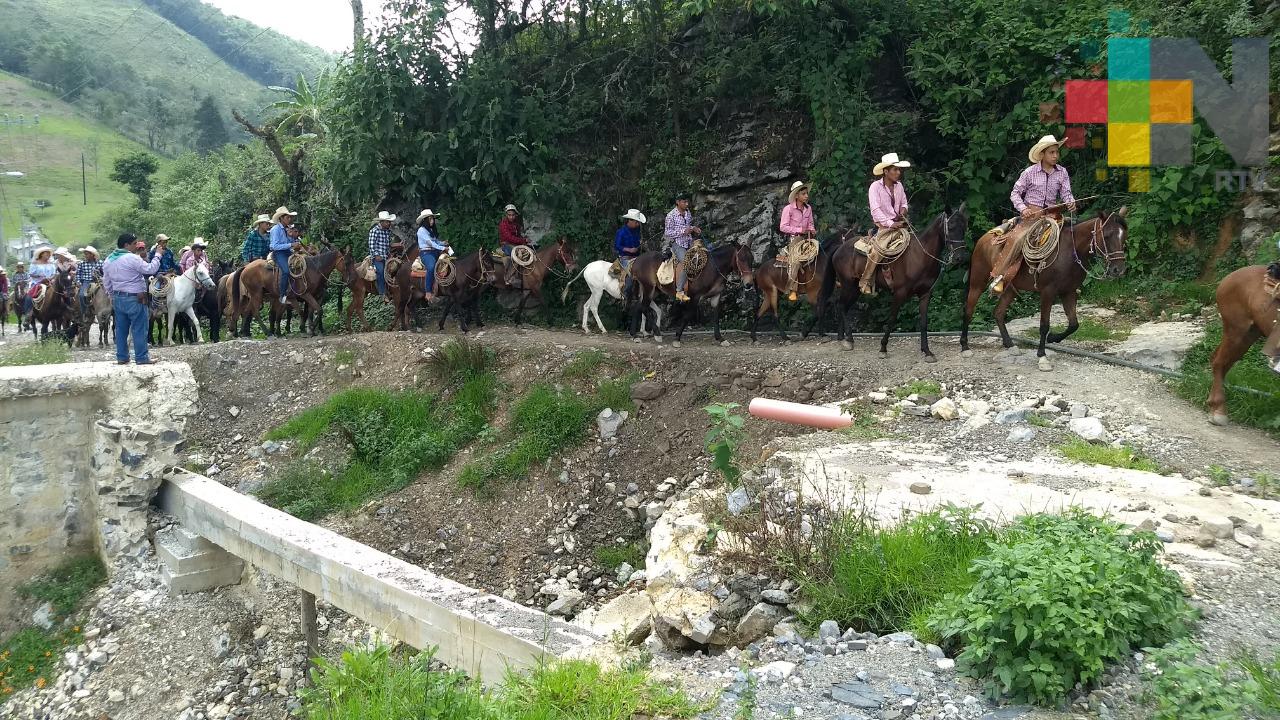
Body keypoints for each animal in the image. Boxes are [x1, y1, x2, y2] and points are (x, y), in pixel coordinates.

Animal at [624, 242, 752, 345]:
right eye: (741, 259)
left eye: (751, 259)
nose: (749, 284)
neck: (713, 268)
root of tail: (636, 261)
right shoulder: (695, 296)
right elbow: (688, 315)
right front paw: (677, 338)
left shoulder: (716, 296)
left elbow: (716, 316)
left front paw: (720, 339)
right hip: (648, 288)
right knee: (643, 307)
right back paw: (657, 334)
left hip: (653, 290)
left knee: (638, 307)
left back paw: (634, 335)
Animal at [819, 206, 967, 358]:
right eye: (951, 226)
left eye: (964, 227)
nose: (959, 257)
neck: (920, 255)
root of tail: (839, 248)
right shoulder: (899, 293)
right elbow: (891, 319)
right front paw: (883, 348)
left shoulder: (926, 293)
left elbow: (923, 322)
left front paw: (927, 351)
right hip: (848, 285)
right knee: (841, 305)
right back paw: (848, 339)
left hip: (854, 288)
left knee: (842, 306)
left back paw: (843, 338)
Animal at [962, 204, 1131, 366]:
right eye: (1107, 235)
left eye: (1124, 236)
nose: (1118, 270)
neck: (1071, 250)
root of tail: (984, 238)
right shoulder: (1048, 292)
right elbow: (1044, 324)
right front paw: (1042, 355)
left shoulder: (1069, 291)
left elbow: (1074, 324)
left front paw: (1053, 338)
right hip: (978, 281)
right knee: (969, 310)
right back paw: (965, 346)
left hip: (1010, 287)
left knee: (998, 312)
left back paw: (1009, 344)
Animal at [1203, 260, 1274, 422]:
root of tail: (1227, 278)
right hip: (1237, 330)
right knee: (1219, 362)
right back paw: (1219, 409)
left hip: (1249, 334)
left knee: (1222, 361)